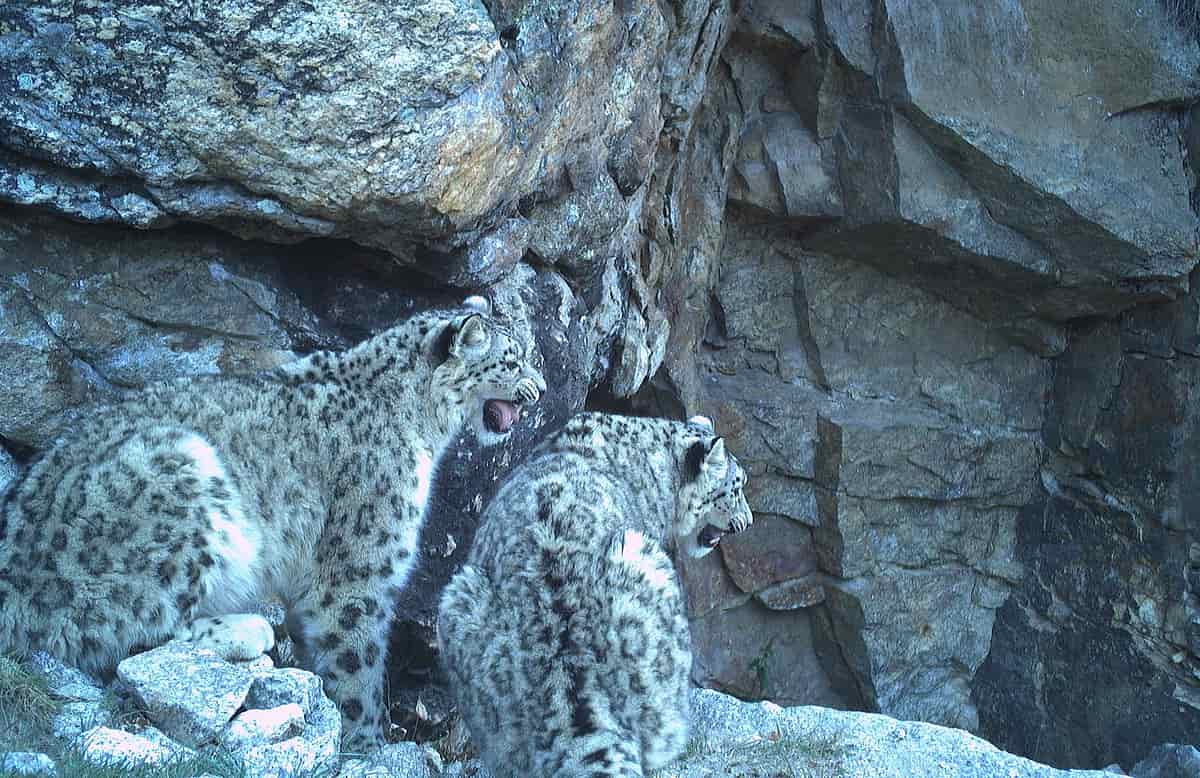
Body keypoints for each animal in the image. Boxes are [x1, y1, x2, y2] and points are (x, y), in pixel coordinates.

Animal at [0, 295, 546, 751]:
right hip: (179, 479)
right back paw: (248, 629)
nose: (540, 390)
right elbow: (357, 660)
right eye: (513, 358)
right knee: (128, 635)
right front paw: (368, 742)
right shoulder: (359, 570)